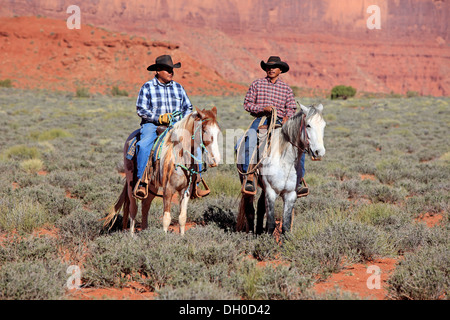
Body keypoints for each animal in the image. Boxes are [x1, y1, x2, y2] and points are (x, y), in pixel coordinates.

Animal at [103, 107, 220, 235]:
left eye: (218, 132)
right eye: (204, 130)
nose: (216, 160)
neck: (179, 155)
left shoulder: (186, 190)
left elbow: (182, 217)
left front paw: (182, 237)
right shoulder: (168, 189)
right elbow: (166, 219)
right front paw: (163, 238)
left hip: (151, 185)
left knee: (145, 205)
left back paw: (145, 231)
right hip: (131, 183)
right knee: (133, 208)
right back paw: (132, 235)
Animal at [236, 104, 326, 235]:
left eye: (323, 125)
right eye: (308, 125)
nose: (319, 152)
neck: (285, 161)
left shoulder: (290, 194)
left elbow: (286, 226)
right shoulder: (271, 192)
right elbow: (271, 224)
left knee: (260, 207)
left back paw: (258, 232)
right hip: (246, 182)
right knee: (250, 209)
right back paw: (250, 233)